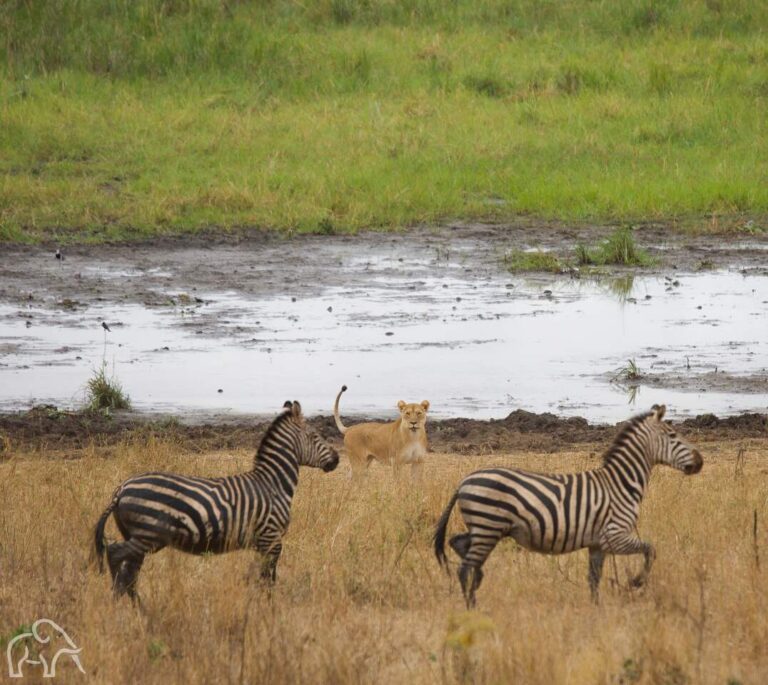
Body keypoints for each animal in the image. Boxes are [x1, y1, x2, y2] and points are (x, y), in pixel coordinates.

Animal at [93, 401, 339, 599]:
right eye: (315, 437)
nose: (336, 459)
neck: (273, 484)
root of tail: (121, 489)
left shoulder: (262, 543)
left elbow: (259, 578)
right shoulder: (271, 539)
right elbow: (269, 579)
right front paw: (268, 610)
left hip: (138, 536)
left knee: (129, 573)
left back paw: (135, 609)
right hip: (148, 535)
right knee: (115, 555)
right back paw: (120, 603)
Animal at [434, 404, 703, 606]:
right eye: (673, 436)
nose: (700, 461)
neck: (620, 483)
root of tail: (463, 482)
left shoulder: (597, 544)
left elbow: (594, 578)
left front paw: (596, 609)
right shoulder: (614, 536)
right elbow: (650, 549)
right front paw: (635, 582)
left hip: (485, 528)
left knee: (459, 545)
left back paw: (477, 583)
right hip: (488, 525)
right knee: (465, 567)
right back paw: (472, 606)